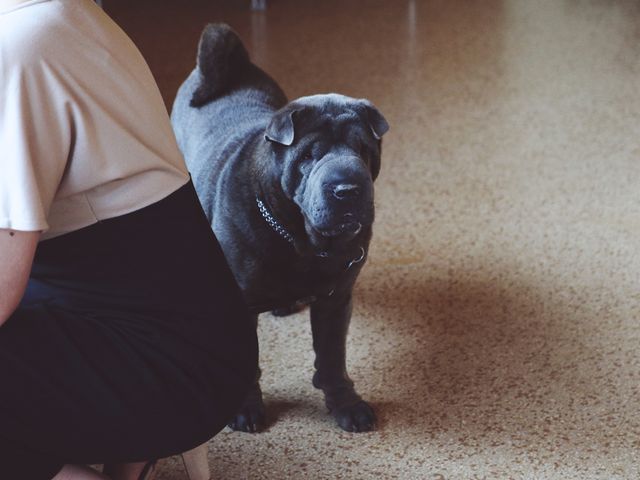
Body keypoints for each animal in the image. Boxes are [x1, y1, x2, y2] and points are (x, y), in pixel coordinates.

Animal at [170, 24, 388, 434]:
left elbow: (332, 357)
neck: (301, 240)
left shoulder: (336, 298)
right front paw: (244, 408)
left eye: (363, 150)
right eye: (309, 156)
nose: (347, 188)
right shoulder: (240, 307)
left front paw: (345, 404)